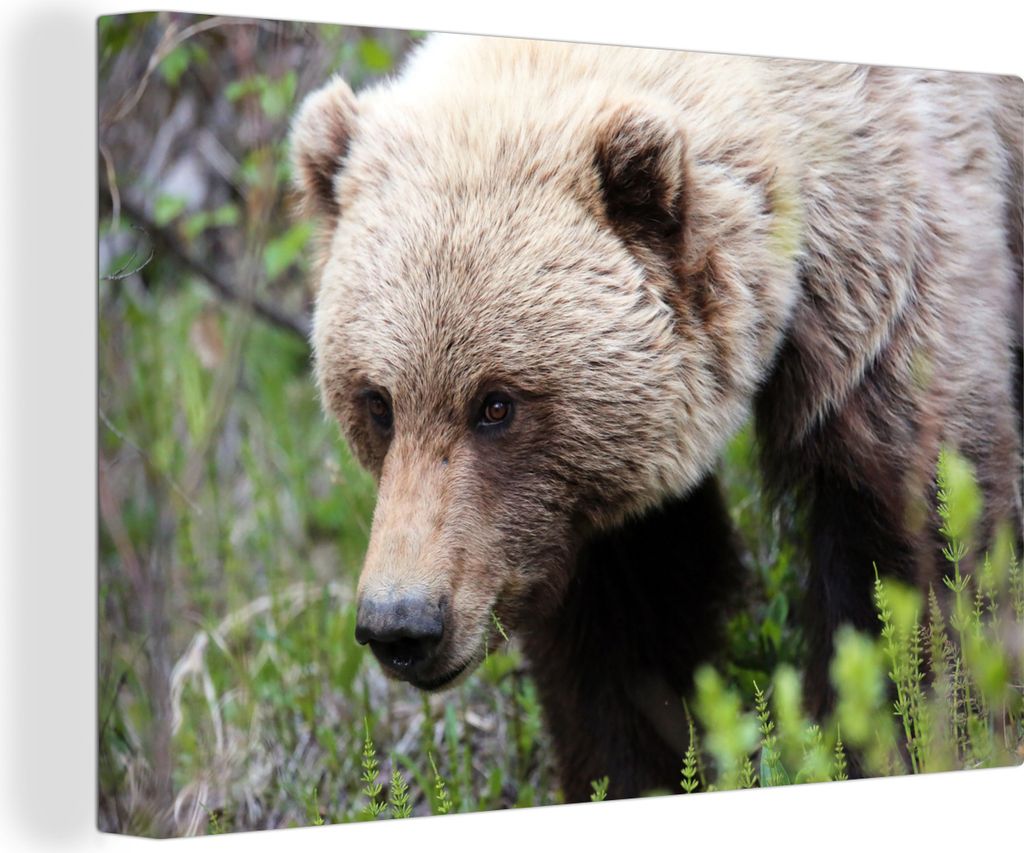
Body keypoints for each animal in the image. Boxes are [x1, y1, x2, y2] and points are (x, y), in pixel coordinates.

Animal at [289, 33, 1023, 802]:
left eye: (496, 403)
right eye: (378, 401)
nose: (402, 623)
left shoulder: (891, 279)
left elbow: (906, 549)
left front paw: (899, 735)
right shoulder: (584, 505)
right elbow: (626, 625)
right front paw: (632, 770)